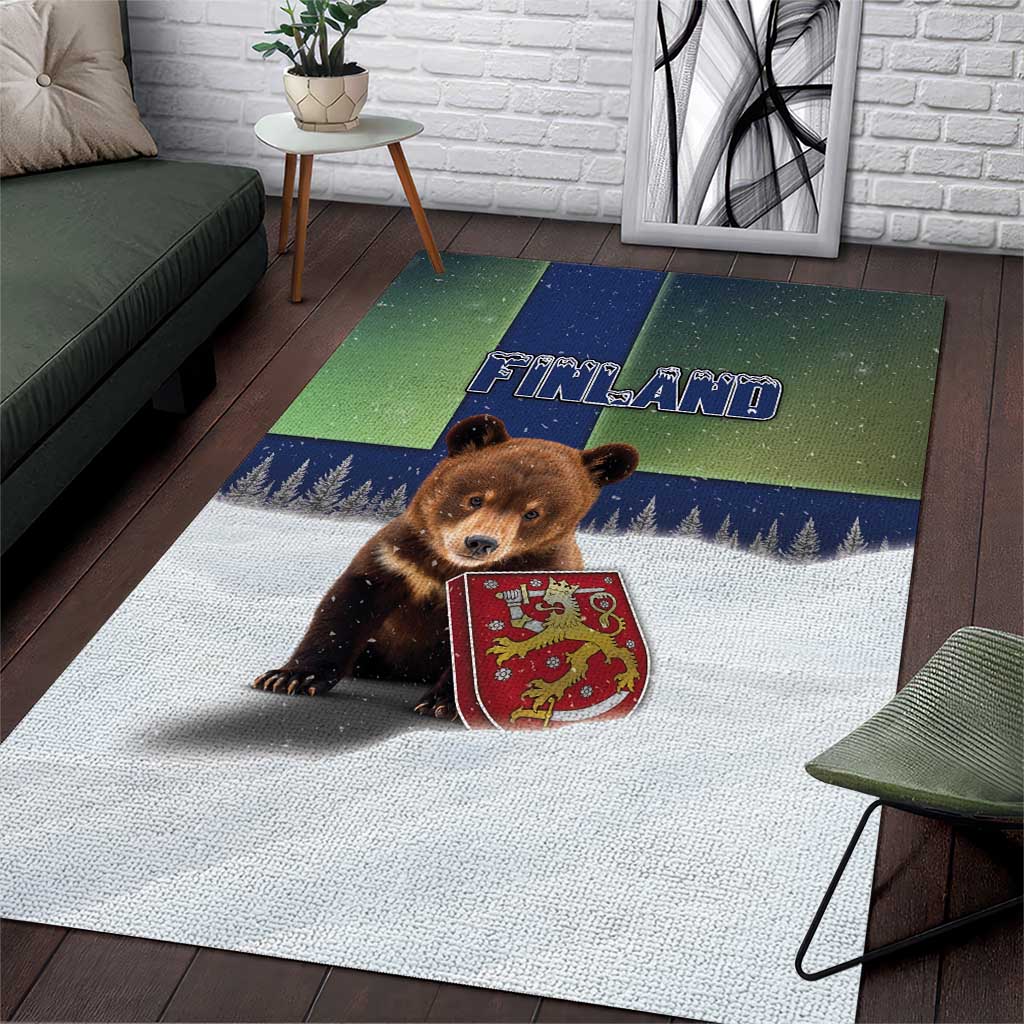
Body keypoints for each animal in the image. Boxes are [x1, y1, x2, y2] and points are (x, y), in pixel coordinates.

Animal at [252, 413, 638, 718]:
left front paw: (445, 703)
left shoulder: (538, 571)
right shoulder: (397, 559)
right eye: (476, 498)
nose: (480, 542)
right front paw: (289, 677)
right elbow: (346, 606)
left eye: (532, 513)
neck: (446, 568)